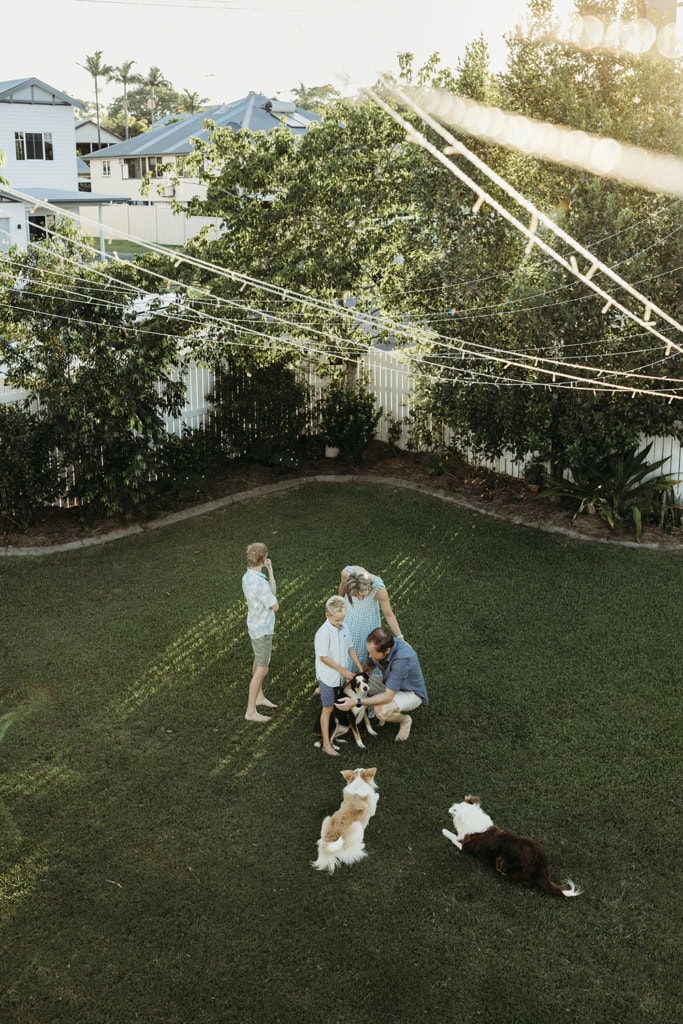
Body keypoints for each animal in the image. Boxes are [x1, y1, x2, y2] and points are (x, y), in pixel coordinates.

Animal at [444, 794, 581, 901]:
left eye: (454, 809)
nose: (449, 807)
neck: (472, 816)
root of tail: (540, 860)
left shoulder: (463, 845)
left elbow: (451, 836)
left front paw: (444, 830)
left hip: (501, 861)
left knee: (528, 881)